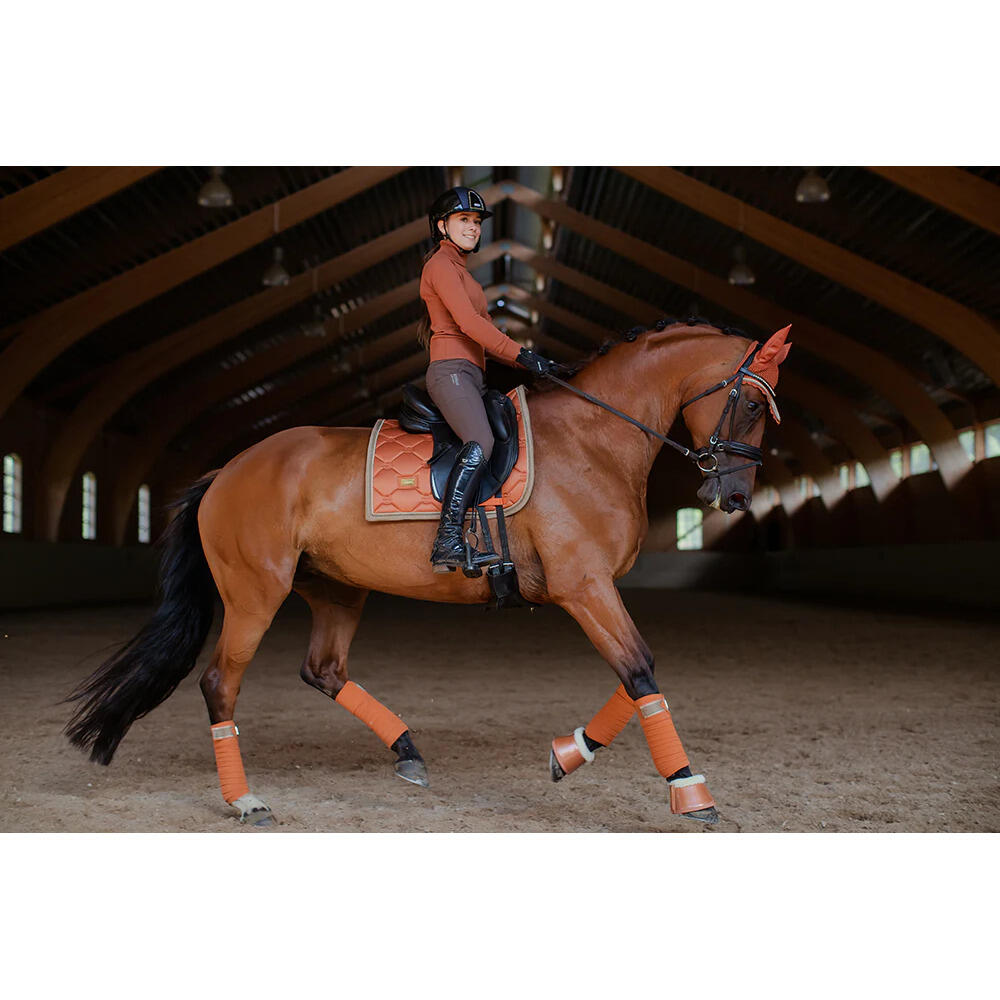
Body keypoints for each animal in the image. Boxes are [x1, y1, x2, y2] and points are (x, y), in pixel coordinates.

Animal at [65, 319, 791, 827]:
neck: (592, 438)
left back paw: (408, 751)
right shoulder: (584, 586)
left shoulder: (593, 589)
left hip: (336, 589)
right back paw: (246, 801)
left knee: (323, 670)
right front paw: (690, 792)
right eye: (754, 406)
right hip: (254, 595)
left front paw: (568, 753)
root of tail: (227, 469)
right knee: (221, 683)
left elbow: (635, 675)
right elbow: (639, 671)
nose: (733, 497)